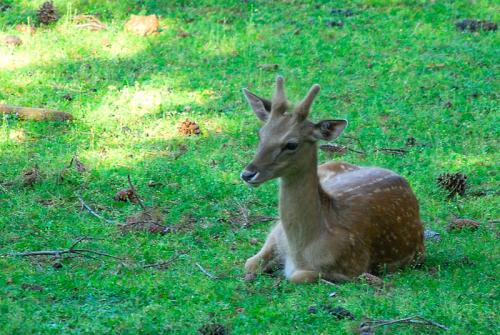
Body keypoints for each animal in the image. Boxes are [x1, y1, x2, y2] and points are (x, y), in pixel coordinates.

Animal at [240, 76, 424, 284]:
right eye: (261, 134)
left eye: (291, 144)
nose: (248, 174)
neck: (299, 250)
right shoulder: (276, 232)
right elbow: (249, 263)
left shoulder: (354, 266)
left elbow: (298, 276)